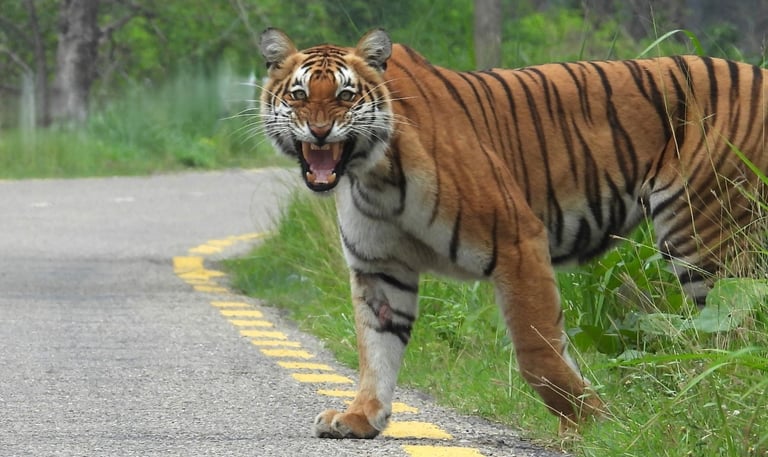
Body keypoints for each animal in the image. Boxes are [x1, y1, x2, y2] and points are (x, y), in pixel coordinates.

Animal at [257, 27, 768, 437]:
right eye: (299, 95)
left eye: (345, 96)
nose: (320, 131)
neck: (370, 173)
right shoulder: (379, 268)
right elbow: (375, 350)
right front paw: (360, 417)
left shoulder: (518, 242)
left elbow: (537, 354)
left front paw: (593, 427)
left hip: (702, 233)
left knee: (737, 326)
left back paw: (723, 391)